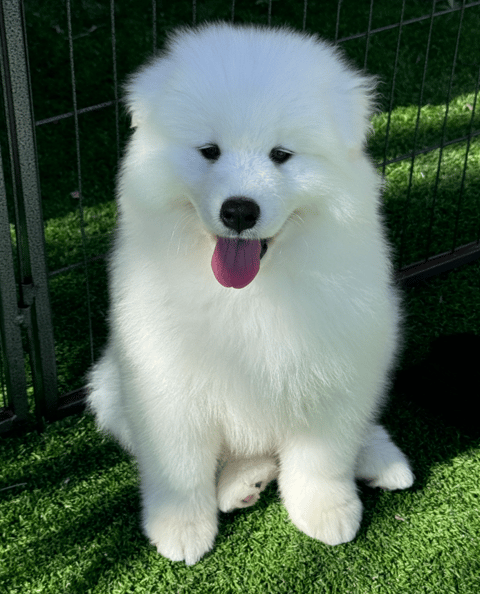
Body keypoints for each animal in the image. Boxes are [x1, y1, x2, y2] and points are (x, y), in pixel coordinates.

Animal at [88, 23, 414, 564]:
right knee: (245, 451)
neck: (251, 292)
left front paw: (325, 511)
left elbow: (322, 456)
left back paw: (378, 459)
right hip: (109, 390)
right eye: (209, 151)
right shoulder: (165, 376)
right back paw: (243, 483)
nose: (239, 211)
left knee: (349, 428)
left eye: (281, 155)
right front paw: (180, 528)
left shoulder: (333, 364)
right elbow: (179, 466)